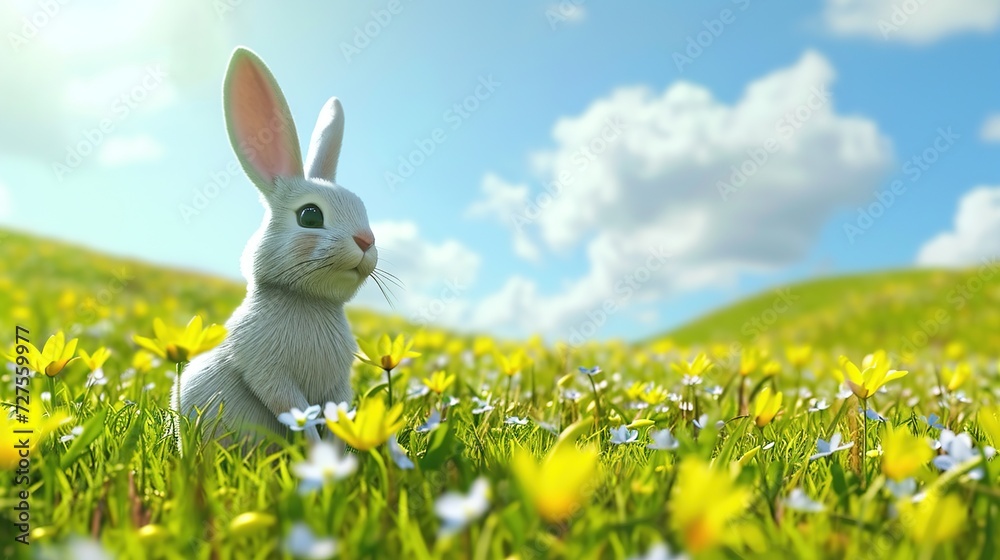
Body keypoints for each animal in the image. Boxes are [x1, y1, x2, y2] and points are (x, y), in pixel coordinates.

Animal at [174, 46, 377, 445]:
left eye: (363, 210)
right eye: (310, 216)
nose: (367, 241)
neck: (308, 301)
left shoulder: (338, 384)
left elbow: (337, 410)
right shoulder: (268, 372)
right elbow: (295, 410)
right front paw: (316, 448)